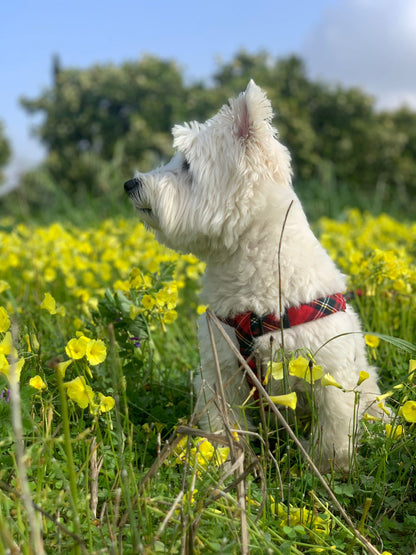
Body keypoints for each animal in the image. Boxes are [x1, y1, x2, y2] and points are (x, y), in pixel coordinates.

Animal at [124, 81, 386, 474]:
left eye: (186, 164)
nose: (129, 183)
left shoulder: (329, 373)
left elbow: (334, 431)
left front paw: (330, 468)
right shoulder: (222, 373)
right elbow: (223, 425)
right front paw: (221, 463)